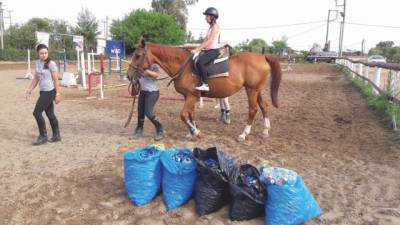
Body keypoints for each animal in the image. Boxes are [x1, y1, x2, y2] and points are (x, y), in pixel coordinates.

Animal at [127, 38, 282, 141]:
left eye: (138, 56)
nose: (128, 76)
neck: (184, 67)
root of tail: (262, 56)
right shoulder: (189, 96)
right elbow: (191, 114)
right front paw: (192, 131)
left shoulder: (191, 96)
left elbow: (183, 114)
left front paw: (195, 132)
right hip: (257, 90)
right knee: (264, 106)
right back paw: (265, 131)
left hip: (251, 90)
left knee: (253, 110)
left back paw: (244, 134)